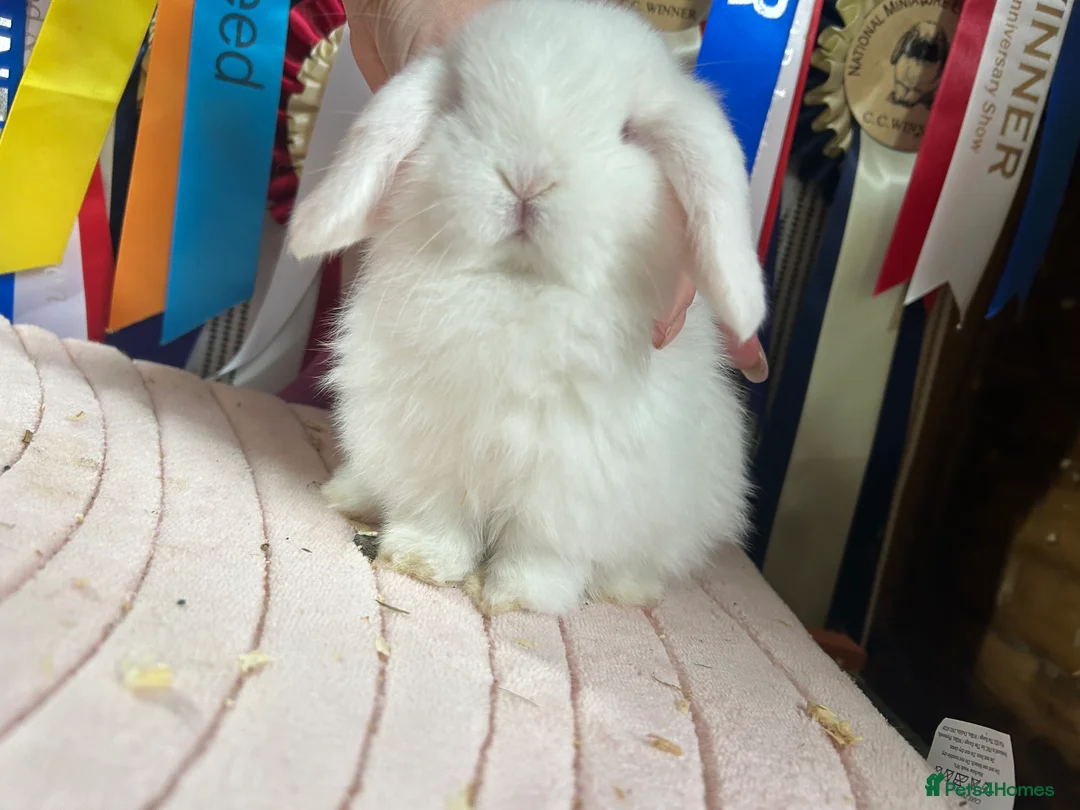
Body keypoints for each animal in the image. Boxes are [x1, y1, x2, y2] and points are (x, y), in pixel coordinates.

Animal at [287, 0, 767, 615]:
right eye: (459, 105)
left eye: (628, 133)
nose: (527, 178)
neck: (517, 290)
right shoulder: (430, 450)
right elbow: (438, 519)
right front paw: (420, 562)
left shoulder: (572, 484)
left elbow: (542, 552)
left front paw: (517, 597)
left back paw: (627, 587)